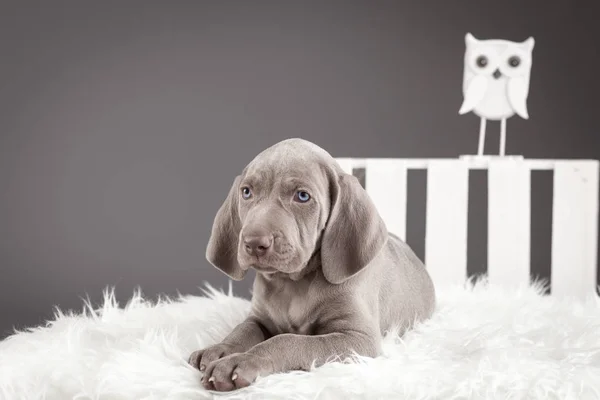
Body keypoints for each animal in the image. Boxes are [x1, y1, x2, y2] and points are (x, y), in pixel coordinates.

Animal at [189, 138, 436, 390]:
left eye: (302, 196)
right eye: (247, 192)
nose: (254, 243)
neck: (294, 282)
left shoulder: (358, 338)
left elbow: (287, 340)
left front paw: (243, 360)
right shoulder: (259, 318)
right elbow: (242, 330)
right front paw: (220, 349)